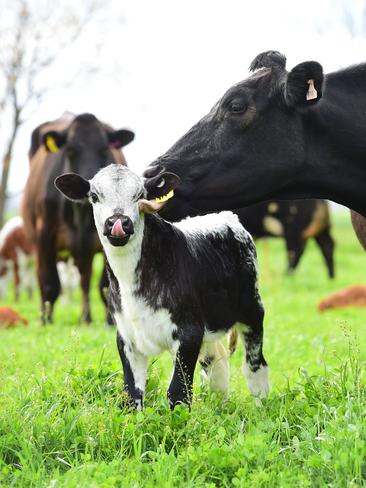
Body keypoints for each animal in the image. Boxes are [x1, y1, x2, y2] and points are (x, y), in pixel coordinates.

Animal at [21, 114, 134, 324]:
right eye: (70, 151)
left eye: (104, 149)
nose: (89, 188)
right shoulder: (45, 233)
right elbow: (49, 282)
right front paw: (46, 322)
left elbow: (105, 284)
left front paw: (110, 321)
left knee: (85, 280)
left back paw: (86, 318)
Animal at [55, 166, 268, 410]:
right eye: (94, 196)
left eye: (140, 195)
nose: (118, 222)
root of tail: (225, 216)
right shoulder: (126, 336)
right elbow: (131, 394)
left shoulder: (189, 332)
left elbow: (178, 393)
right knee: (217, 365)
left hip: (252, 309)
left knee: (255, 366)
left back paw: (262, 405)